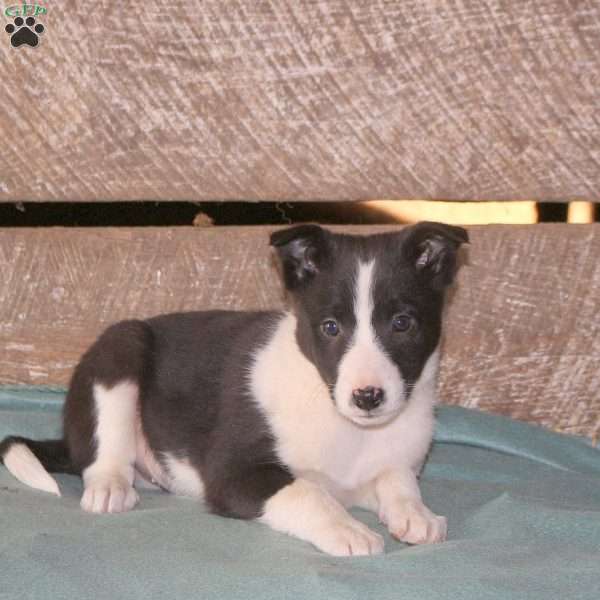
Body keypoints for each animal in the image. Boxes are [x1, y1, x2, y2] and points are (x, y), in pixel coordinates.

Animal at [0, 223, 468, 556]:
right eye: (331, 327)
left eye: (402, 323)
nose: (367, 397)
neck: (349, 428)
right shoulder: (234, 474)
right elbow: (308, 492)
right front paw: (348, 529)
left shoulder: (383, 468)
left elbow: (397, 480)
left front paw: (417, 514)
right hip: (120, 349)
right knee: (102, 451)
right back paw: (110, 486)